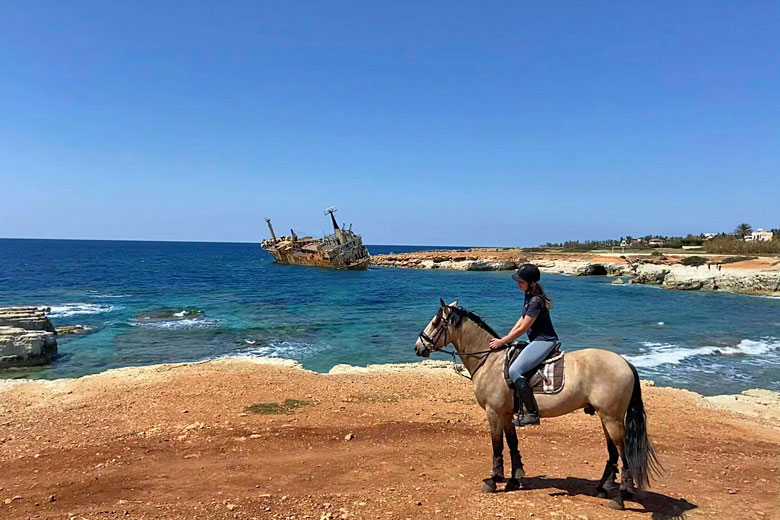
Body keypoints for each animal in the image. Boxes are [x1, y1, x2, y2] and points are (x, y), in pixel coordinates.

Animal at [412, 298, 660, 510]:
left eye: (436, 322)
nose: (417, 347)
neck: (490, 361)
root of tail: (625, 363)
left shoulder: (494, 412)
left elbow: (497, 446)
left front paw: (493, 480)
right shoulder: (506, 414)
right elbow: (512, 444)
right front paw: (515, 479)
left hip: (612, 418)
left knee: (624, 454)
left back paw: (621, 497)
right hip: (606, 417)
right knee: (613, 452)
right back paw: (602, 488)